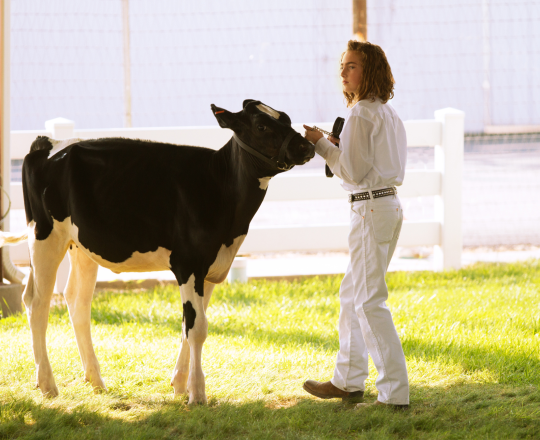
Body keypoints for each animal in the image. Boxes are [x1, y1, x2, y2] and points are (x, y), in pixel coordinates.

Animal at [1, 100, 312, 406]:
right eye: (261, 126)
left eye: (286, 118)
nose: (306, 146)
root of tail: (47, 143)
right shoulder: (188, 264)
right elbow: (197, 328)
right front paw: (197, 394)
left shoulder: (212, 268)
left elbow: (190, 325)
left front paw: (180, 386)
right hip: (45, 235)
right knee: (37, 303)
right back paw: (47, 385)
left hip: (81, 246)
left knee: (77, 301)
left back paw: (96, 380)